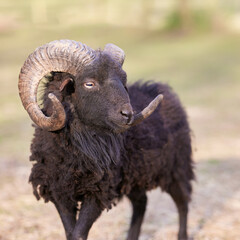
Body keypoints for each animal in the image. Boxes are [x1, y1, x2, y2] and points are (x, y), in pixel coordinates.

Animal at [19, 40, 195, 240]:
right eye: (89, 83)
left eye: (123, 81)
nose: (127, 114)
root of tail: (163, 88)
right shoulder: (60, 192)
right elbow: (70, 232)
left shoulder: (98, 191)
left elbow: (79, 233)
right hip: (134, 175)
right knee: (141, 203)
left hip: (176, 166)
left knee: (183, 201)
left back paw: (182, 234)